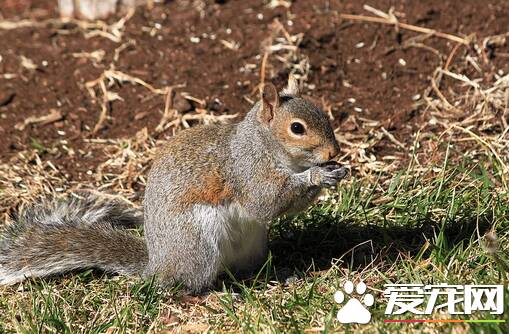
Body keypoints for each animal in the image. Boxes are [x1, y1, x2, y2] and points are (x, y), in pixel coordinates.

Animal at [0, 76, 346, 292]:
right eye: (297, 128)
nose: (334, 152)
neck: (264, 144)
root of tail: (158, 267)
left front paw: (335, 171)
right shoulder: (246, 171)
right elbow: (266, 203)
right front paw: (318, 175)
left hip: (253, 244)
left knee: (244, 271)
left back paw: (276, 275)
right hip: (198, 243)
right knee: (189, 284)